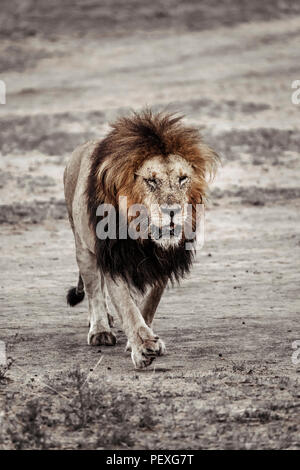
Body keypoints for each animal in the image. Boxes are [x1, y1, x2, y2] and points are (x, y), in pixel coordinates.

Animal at [63, 108, 218, 370]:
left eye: (183, 179)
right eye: (151, 180)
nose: (172, 211)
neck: (144, 237)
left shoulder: (165, 261)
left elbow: (148, 303)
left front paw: (142, 338)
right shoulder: (113, 259)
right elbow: (127, 306)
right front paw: (144, 347)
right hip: (84, 248)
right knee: (94, 290)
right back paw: (100, 329)